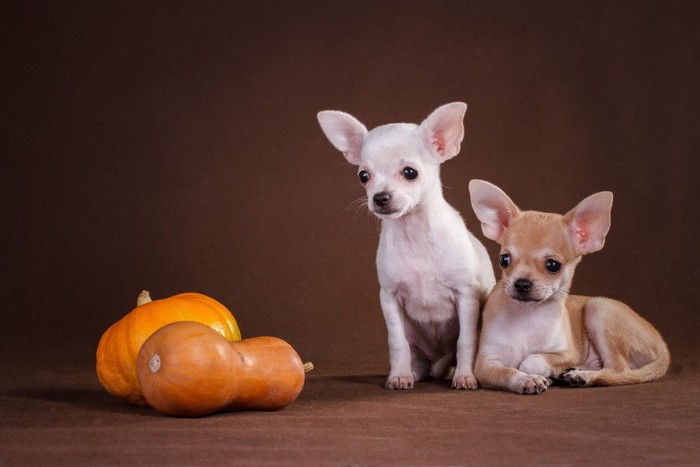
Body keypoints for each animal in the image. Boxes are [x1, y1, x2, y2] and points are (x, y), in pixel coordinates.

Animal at [318, 104, 492, 390]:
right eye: (363, 176)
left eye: (410, 172)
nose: (380, 197)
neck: (414, 234)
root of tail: (437, 360)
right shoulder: (389, 298)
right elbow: (396, 342)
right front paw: (399, 375)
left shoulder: (467, 296)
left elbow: (466, 341)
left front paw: (465, 376)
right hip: (419, 348)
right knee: (415, 357)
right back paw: (413, 372)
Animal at [468, 179, 668, 394]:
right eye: (504, 260)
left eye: (553, 265)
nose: (521, 283)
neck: (527, 315)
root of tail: (662, 344)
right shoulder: (485, 365)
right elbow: (509, 371)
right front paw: (527, 379)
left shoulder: (567, 353)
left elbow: (532, 360)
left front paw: (536, 373)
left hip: (598, 308)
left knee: (618, 369)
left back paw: (582, 376)